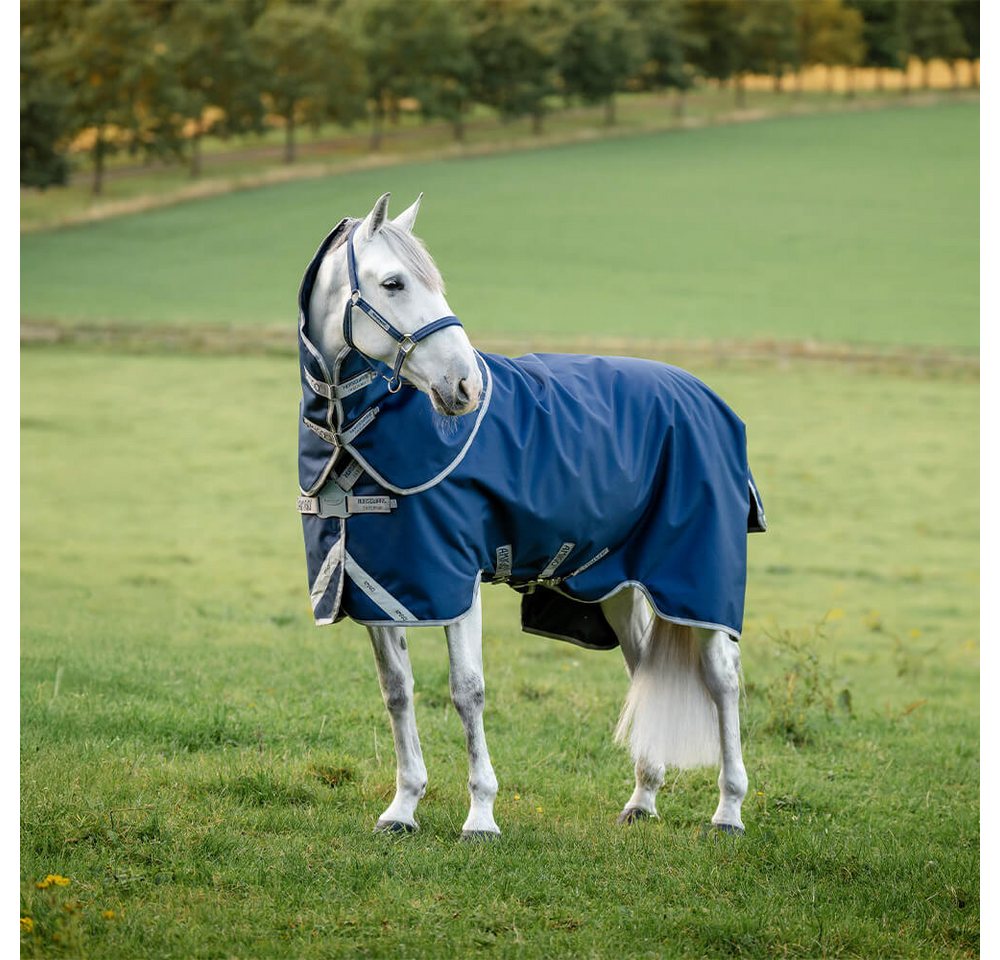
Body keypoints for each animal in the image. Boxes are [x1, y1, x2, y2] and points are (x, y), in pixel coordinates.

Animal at [296, 193, 765, 838]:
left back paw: (729, 810)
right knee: (644, 669)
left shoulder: (456, 579)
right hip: (619, 584)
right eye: (393, 283)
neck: (356, 438)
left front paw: (481, 815)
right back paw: (643, 798)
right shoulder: (379, 586)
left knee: (722, 678)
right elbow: (397, 691)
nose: (464, 386)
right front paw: (404, 807)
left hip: (696, 581)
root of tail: (704, 396)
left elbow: (467, 690)